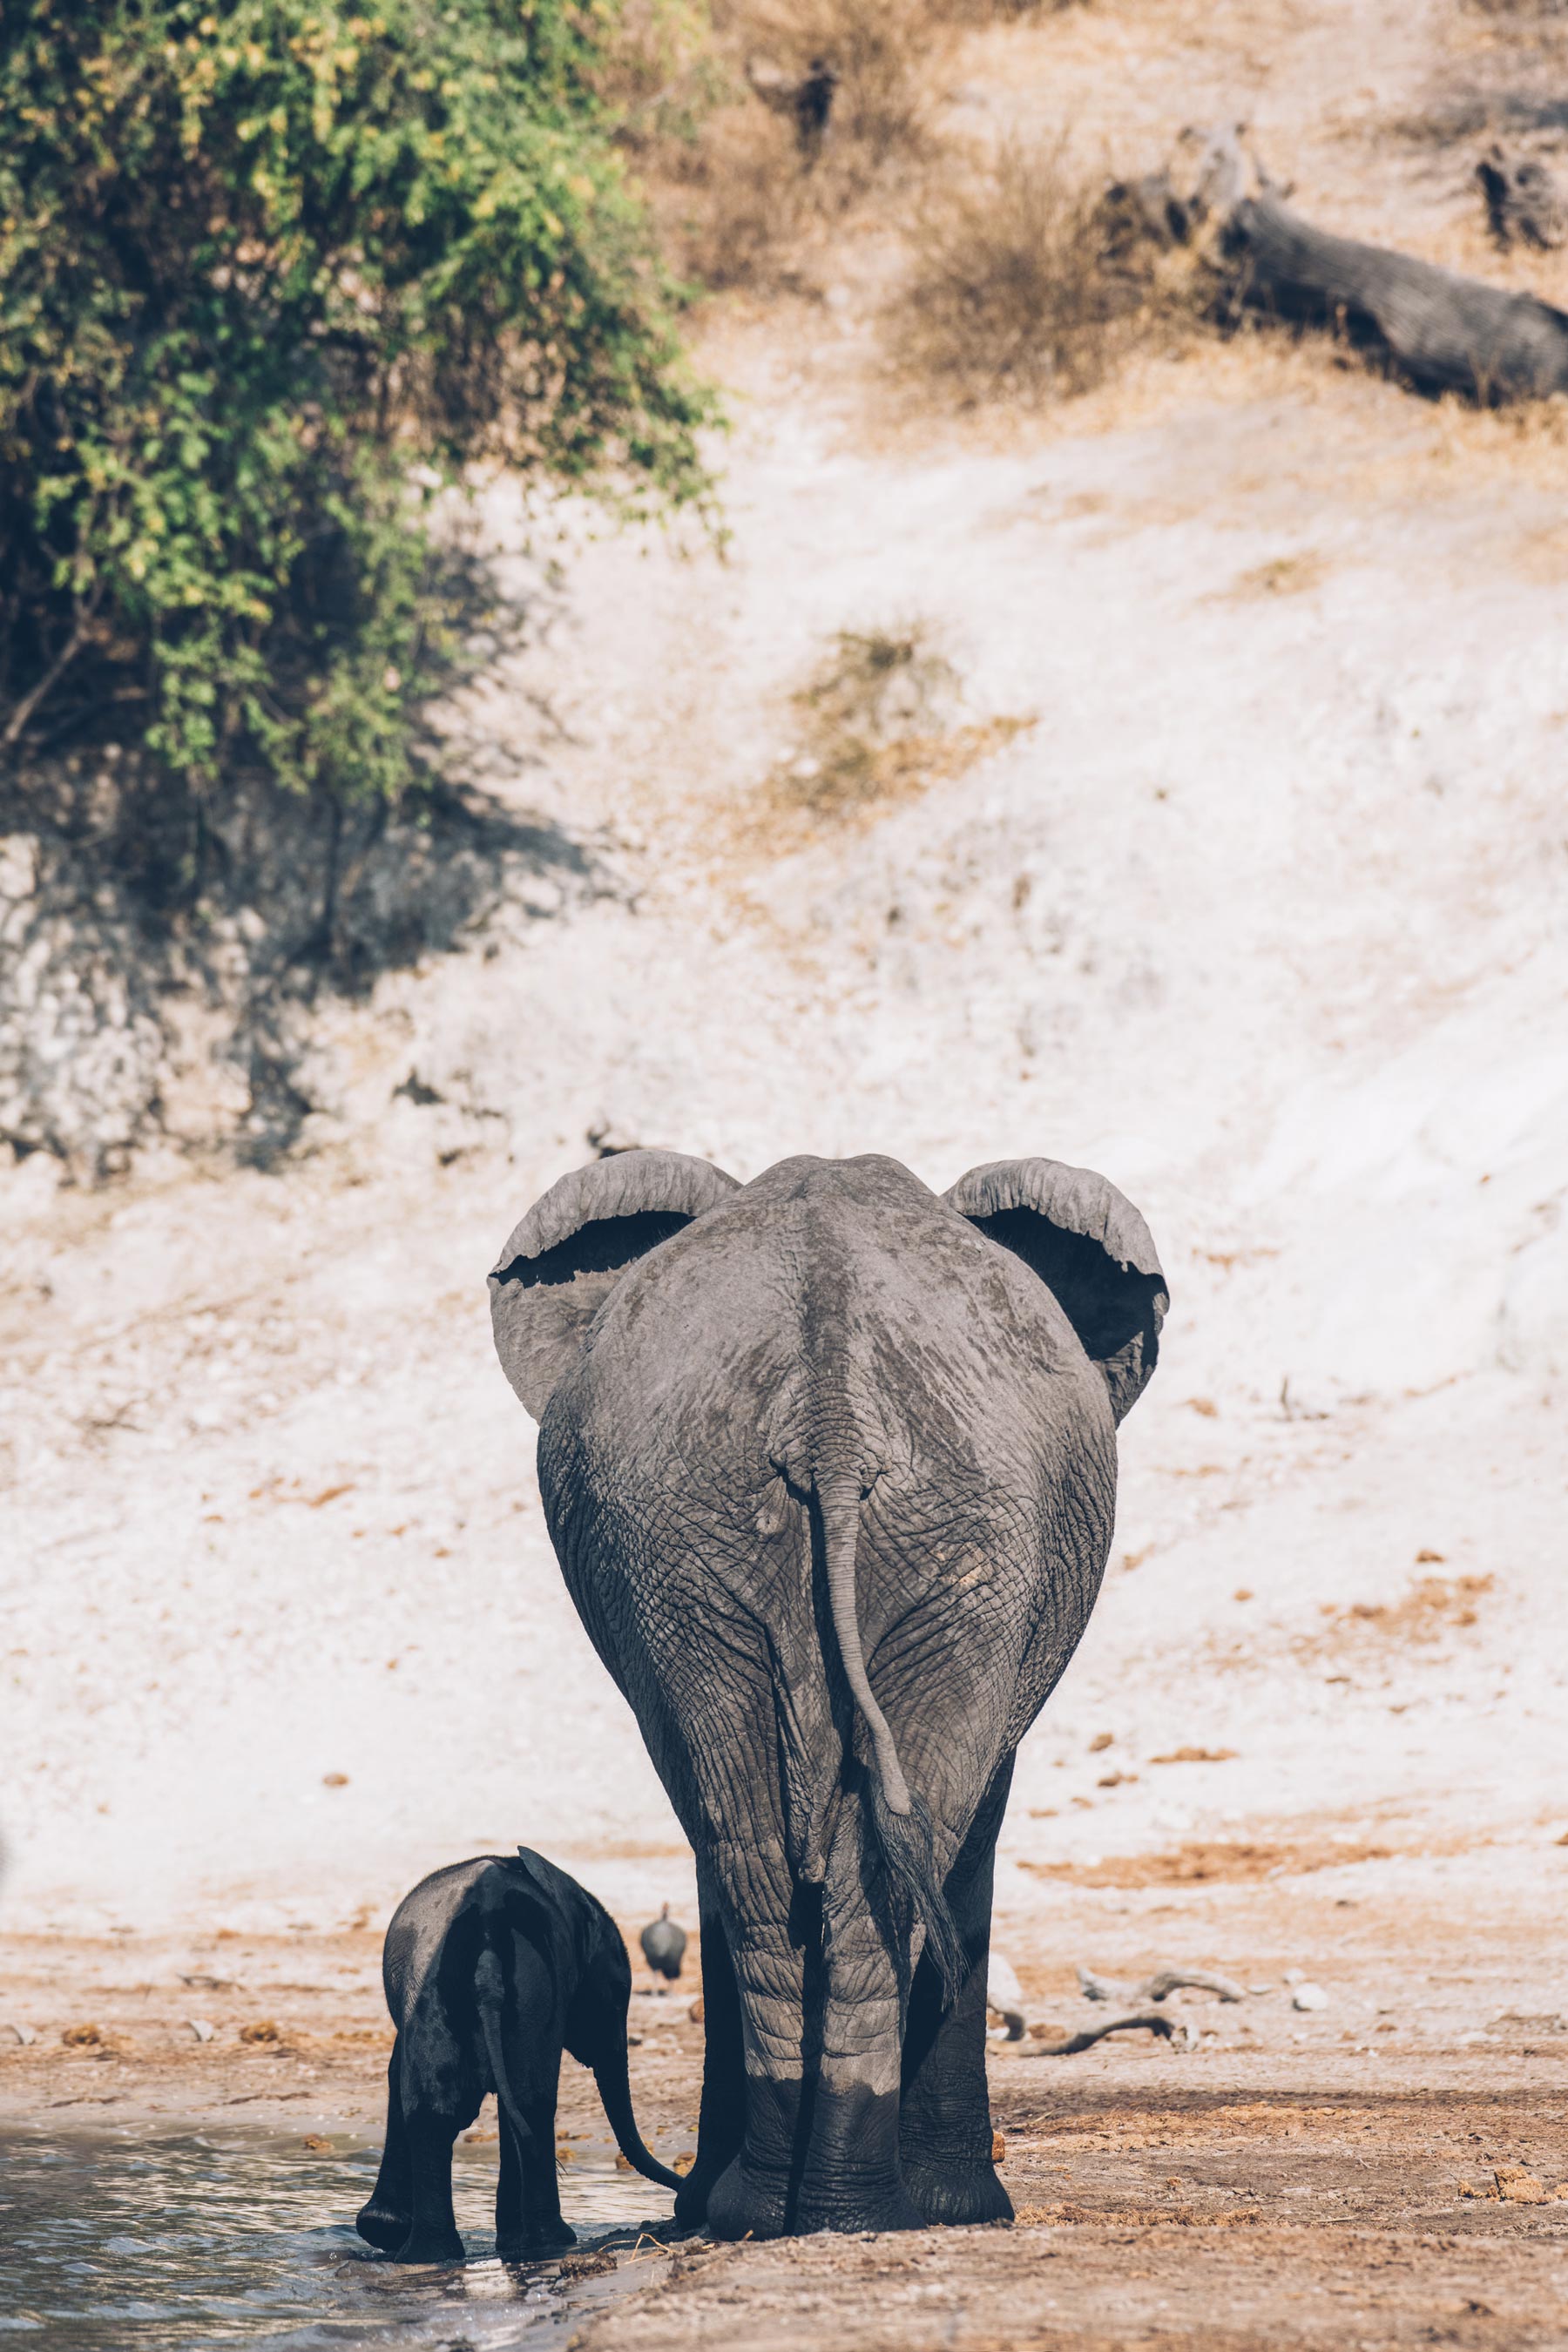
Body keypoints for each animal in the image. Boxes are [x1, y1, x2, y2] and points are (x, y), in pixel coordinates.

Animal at [359, 1843, 681, 2267]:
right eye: (617, 1994)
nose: (682, 2194)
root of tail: (487, 1949)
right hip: (513, 1985)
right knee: (521, 2107)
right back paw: (539, 2243)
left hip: (484, 1987)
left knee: (462, 2110)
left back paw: (438, 2255)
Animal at [491, 1152, 1166, 2239]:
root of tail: (830, 1411)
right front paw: (965, 2211)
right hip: (873, 1533)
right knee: (853, 1859)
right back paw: (840, 2211)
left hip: (700, 1534)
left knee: (756, 1856)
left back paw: (769, 2211)